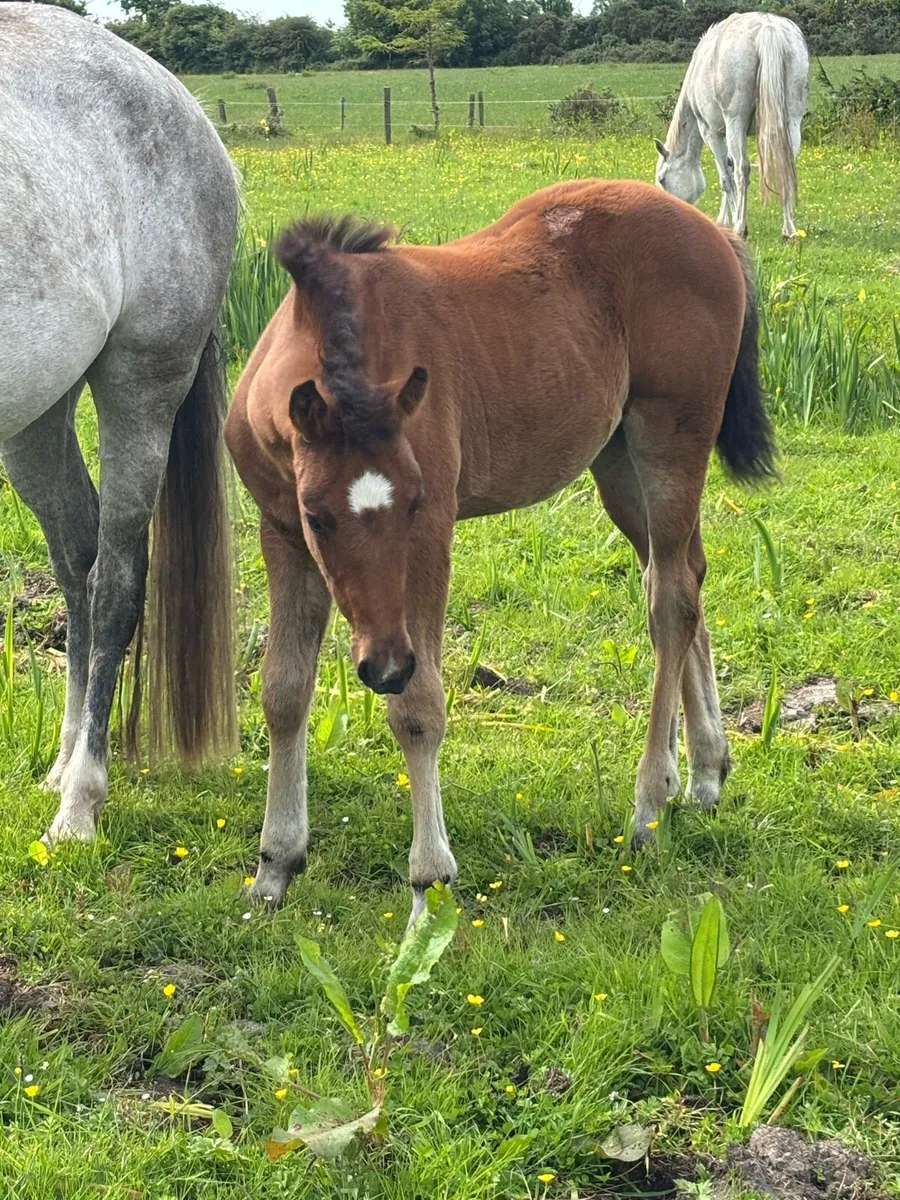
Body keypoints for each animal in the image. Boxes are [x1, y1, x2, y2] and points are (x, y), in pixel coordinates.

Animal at [0, 4, 238, 844]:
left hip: (140, 385)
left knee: (113, 585)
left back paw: (79, 803)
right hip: (39, 413)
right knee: (77, 563)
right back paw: (62, 766)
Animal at [225, 179, 776, 921]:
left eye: (415, 501)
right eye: (318, 515)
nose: (383, 664)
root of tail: (716, 233)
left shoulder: (433, 535)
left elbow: (419, 710)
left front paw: (429, 882)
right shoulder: (280, 530)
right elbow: (283, 689)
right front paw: (275, 865)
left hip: (671, 438)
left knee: (670, 600)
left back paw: (648, 805)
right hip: (618, 460)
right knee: (684, 575)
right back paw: (707, 771)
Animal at [654, 12, 809, 239]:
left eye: (663, 179)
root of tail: (767, 27)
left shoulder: (712, 132)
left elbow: (727, 178)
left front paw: (733, 220)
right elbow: (729, 166)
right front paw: (727, 218)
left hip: (735, 121)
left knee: (742, 169)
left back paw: (741, 228)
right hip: (791, 121)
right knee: (787, 168)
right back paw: (789, 229)